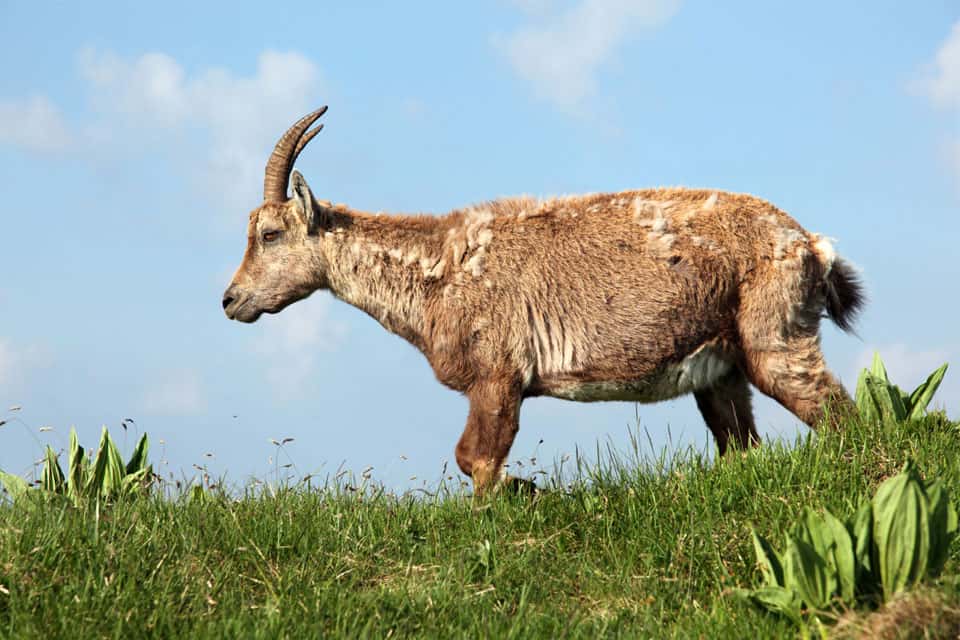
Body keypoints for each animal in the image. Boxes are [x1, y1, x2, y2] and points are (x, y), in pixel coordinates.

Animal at [223, 106, 864, 496]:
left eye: (269, 234)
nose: (231, 300)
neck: (440, 271)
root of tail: (810, 244)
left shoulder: (498, 375)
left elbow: (474, 458)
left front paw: (522, 493)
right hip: (722, 369)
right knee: (743, 445)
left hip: (775, 340)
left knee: (840, 416)